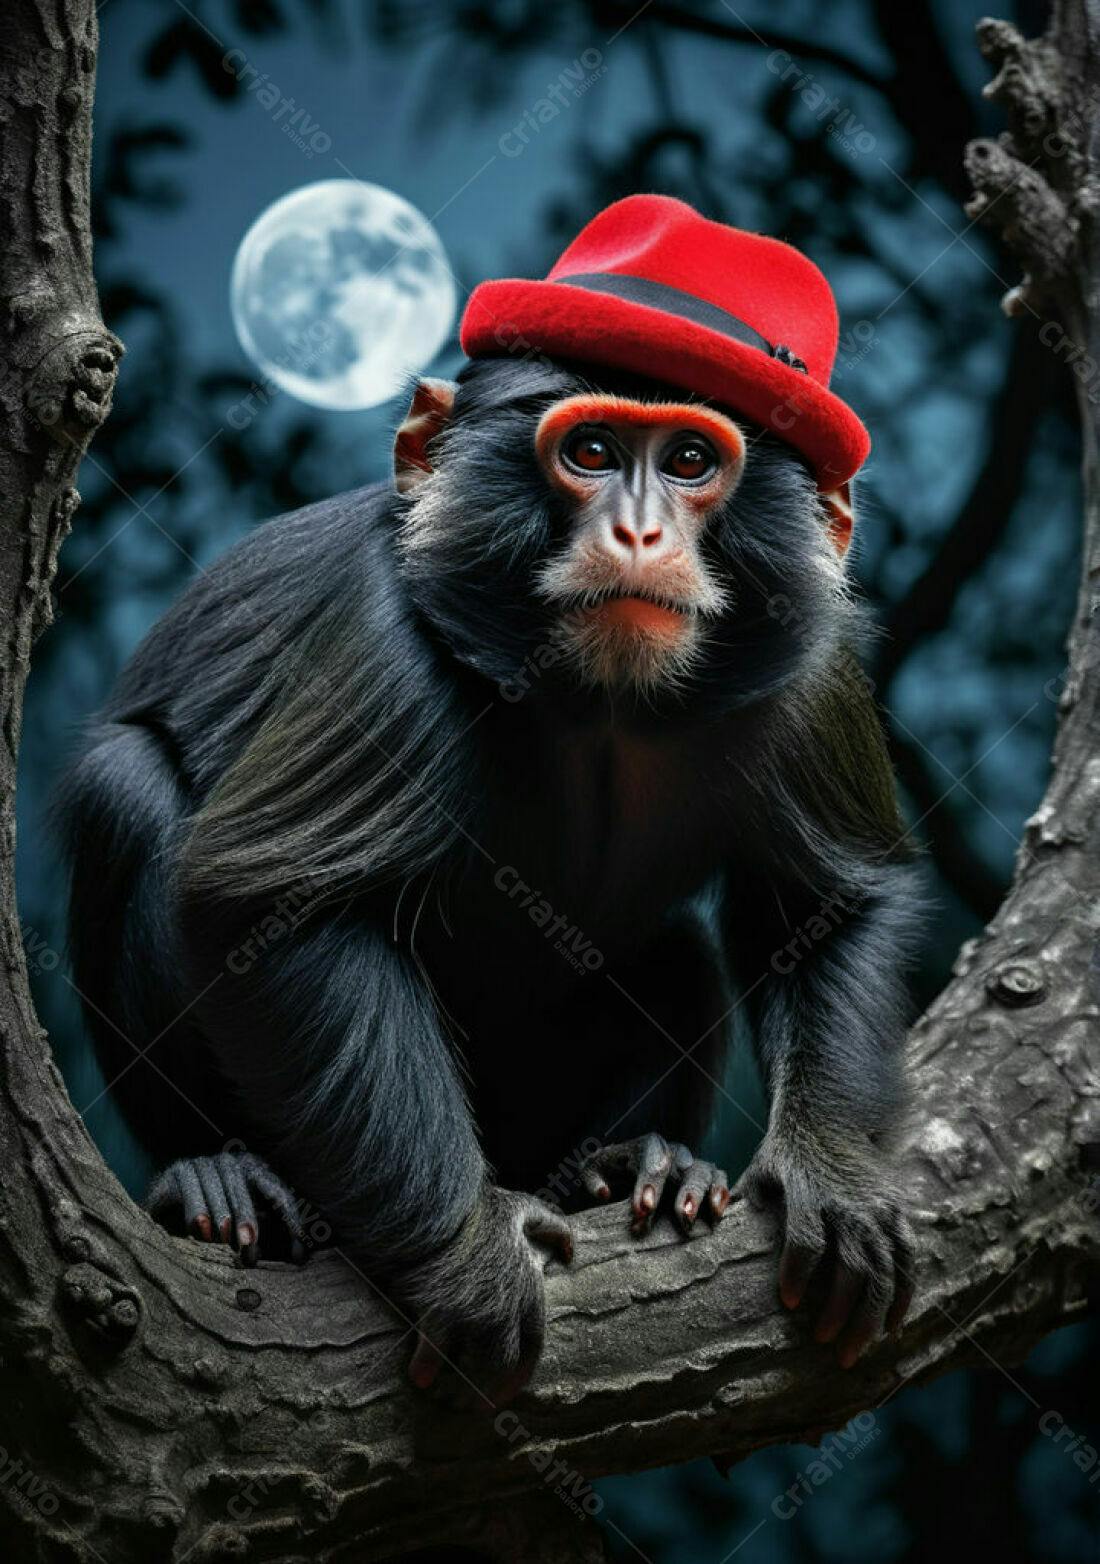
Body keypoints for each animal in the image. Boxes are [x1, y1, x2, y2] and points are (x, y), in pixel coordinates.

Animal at [56, 200, 920, 1406]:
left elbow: (829, 904)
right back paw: (218, 1175)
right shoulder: (388, 649)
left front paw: (834, 1174)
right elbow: (268, 902)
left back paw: (630, 1167)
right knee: (123, 789)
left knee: (674, 958)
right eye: (591, 452)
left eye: (691, 460)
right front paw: (466, 1256)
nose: (640, 532)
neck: (600, 704)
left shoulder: (812, 660)